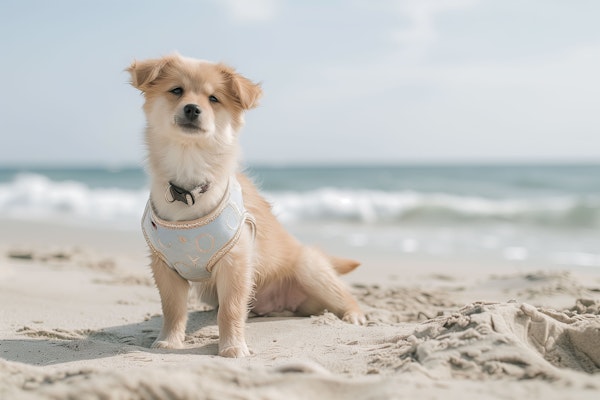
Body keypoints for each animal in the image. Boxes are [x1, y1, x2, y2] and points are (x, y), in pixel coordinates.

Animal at [126, 52, 364, 356]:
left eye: (213, 98)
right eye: (176, 91)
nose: (192, 109)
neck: (190, 179)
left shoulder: (235, 261)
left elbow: (230, 309)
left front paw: (233, 347)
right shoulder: (165, 265)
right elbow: (173, 308)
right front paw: (169, 340)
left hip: (310, 269)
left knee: (343, 295)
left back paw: (353, 315)